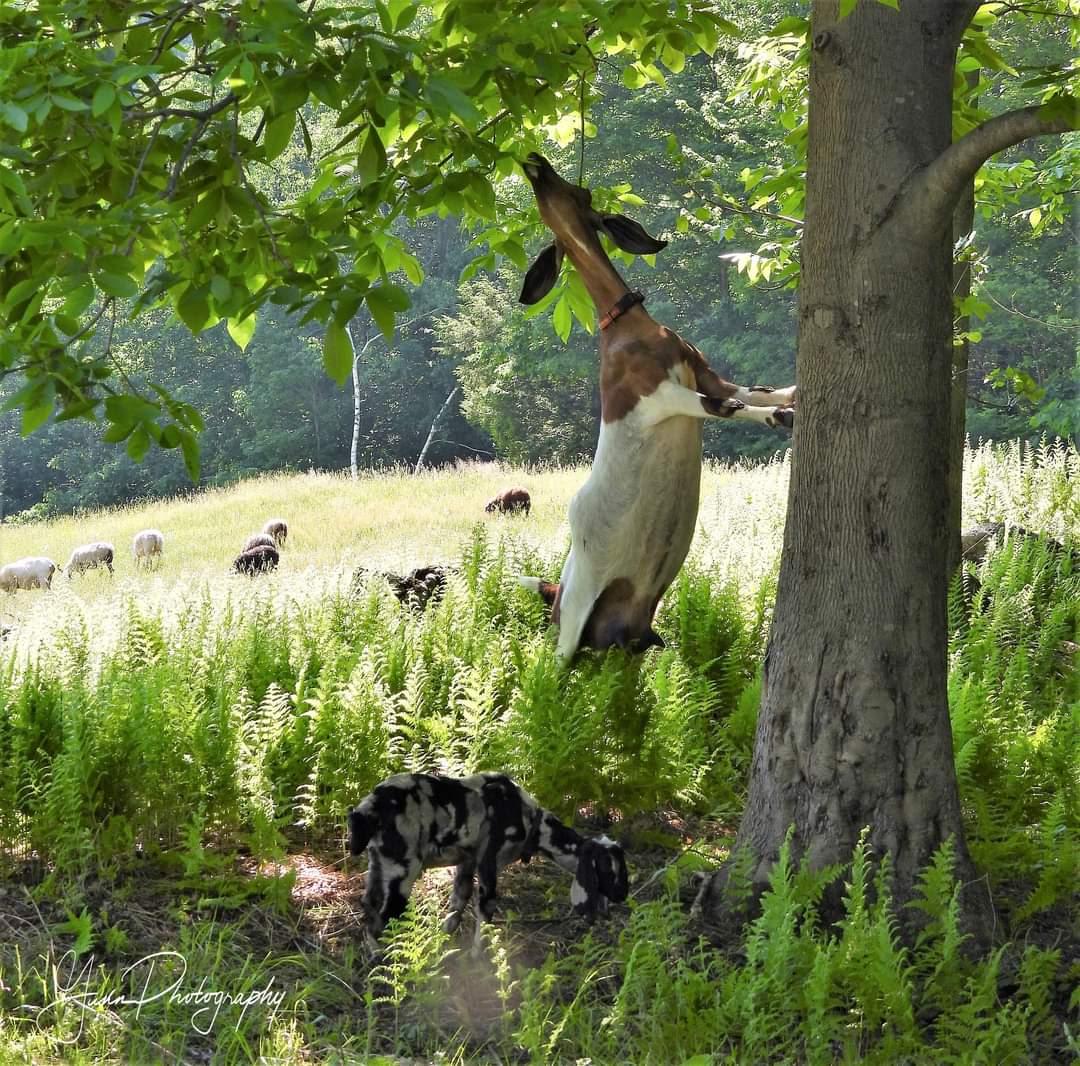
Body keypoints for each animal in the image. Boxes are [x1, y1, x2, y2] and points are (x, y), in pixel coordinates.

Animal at [345, 768, 630, 946]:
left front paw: (445, 946)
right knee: (389, 913)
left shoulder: (467, 862)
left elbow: (457, 905)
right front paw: (479, 960)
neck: (531, 821)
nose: (622, 895)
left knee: (370, 907)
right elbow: (486, 910)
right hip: (403, 867)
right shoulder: (488, 861)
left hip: (379, 862)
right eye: (607, 867)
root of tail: (367, 809)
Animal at [514, 154, 794, 660]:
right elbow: (724, 406)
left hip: (634, 642)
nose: (535, 164)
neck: (626, 328)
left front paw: (791, 398)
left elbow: (755, 390)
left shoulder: (703, 372)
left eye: (580, 193)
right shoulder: (658, 396)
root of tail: (555, 592)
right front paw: (782, 418)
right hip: (569, 631)